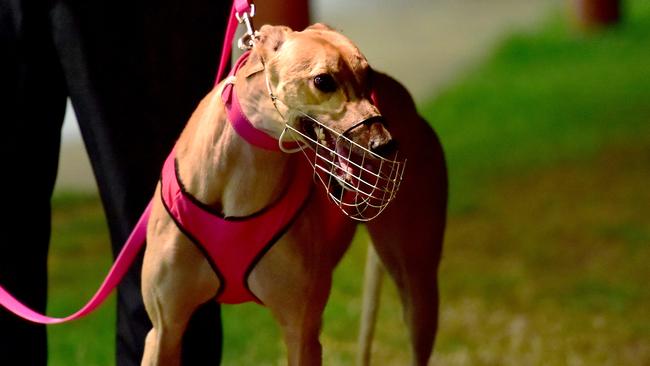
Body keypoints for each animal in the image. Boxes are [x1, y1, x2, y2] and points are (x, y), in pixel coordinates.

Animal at [141, 23, 446, 366]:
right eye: (323, 81)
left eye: (368, 77)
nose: (385, 145)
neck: (241, 175)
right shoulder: (164, 330)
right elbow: (163, 330)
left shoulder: (302, 330)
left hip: (417, 286)